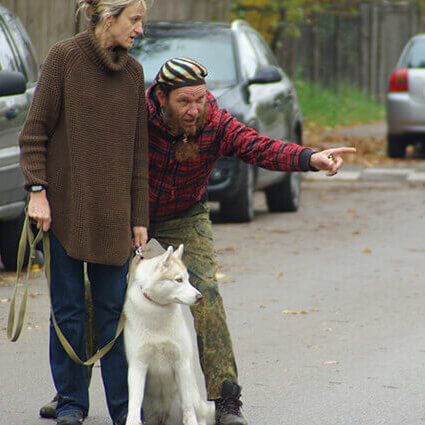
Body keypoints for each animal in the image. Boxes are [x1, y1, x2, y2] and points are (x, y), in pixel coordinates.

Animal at [124, 245, 214, 424]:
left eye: (188, 279)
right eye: (178, 280)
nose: (199, 297)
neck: (157, 312)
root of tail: (163, 415)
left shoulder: (182, 363)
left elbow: (188, 409)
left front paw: (190, 420)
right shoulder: (138, 365)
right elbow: (134, 405)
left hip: (193, 398)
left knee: (198, 412)